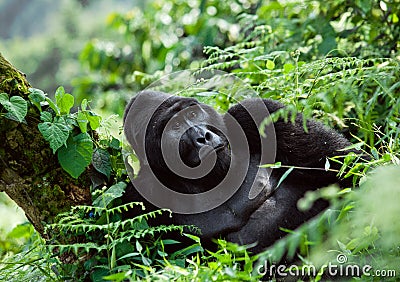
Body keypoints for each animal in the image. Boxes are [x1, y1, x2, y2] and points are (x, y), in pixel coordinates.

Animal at [122, 90, 356, 253]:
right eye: (176, 126)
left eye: (193, 113)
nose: (203, 137)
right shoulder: (138, 195)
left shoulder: (257, 114)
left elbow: (347, 165)